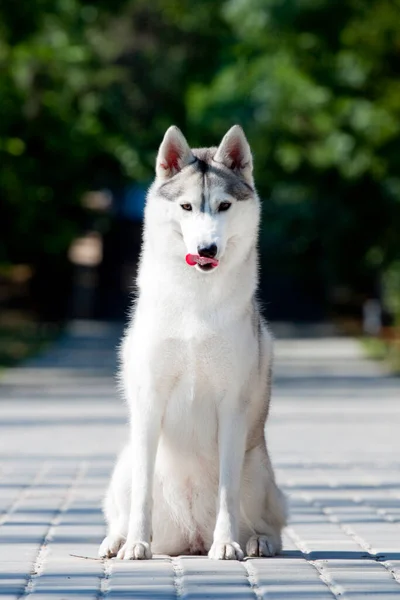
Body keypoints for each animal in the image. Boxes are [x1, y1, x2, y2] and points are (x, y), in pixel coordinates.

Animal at [100, 124, 288, 560]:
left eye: (223, 206)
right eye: (186, 207)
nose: (206, 249)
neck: (195, 304)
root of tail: (191, 538)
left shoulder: (232, 406)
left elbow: (226, 492)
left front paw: (227, 543)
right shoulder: (149, 401)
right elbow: (142, 494)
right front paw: (136, 544)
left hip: (258, 469)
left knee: (270, 521)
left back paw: (257, 541)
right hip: (125, 463)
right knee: (123, 507)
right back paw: (116, 540)